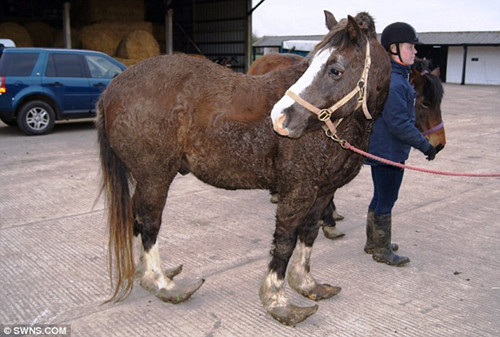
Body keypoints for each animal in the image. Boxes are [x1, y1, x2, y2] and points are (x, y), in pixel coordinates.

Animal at [97, 11, 392, 326]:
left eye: (335, 69)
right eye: (311, 63)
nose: (280, 117)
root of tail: (112, 89)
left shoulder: (323, 191)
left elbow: (309, 234)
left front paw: (306, 284)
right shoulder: (297, 191)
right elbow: (285, 241)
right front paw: (278, 301)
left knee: (138, 219)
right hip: (155, 177)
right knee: (149, 222)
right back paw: (161, 283)